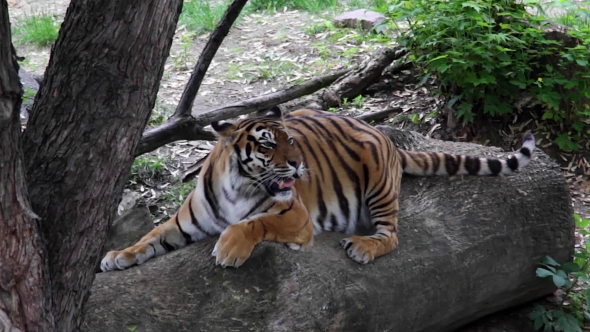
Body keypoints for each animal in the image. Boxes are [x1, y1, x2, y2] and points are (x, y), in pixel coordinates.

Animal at [100, 107, 536, 272]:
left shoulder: (295, 216)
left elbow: (252, 224)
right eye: (267, 144)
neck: (238, 185)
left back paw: (363, 246)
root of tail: (382, 133)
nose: (297, 164)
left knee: (392, 236)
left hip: (379, 188)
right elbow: (150, 235)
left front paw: (230, 249)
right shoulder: (183, 222)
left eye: (291, 140)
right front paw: (118, 255)